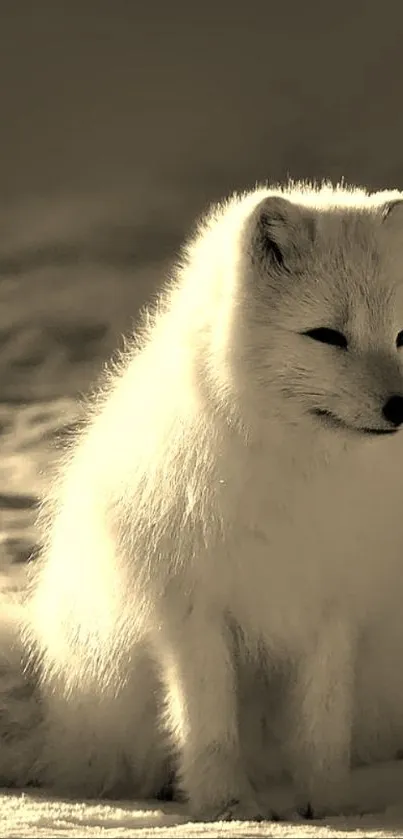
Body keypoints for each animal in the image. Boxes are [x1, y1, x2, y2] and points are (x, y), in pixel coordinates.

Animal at [10, 182, 403, 820]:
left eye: (402, 336)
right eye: (327, 336)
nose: (399, 407)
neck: (296, 471)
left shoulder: (331, 609)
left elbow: (322, 727)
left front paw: (327, 808)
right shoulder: (193, 611)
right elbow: (209, 724)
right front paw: (228, 806)